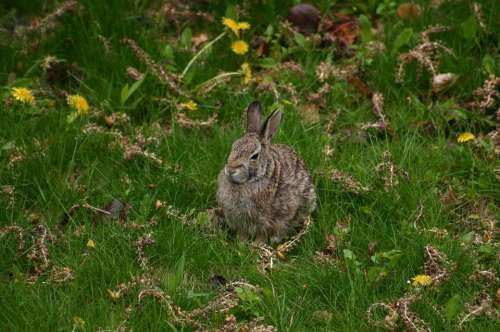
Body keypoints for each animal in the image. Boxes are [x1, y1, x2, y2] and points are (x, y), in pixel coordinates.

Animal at [216, 100, 316, 243]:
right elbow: (242, 234)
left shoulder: (265, 221)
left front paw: (257, 245)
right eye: (233, 147)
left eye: (254, 156)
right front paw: (240, 244)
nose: (231, 169)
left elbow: (262, 234)